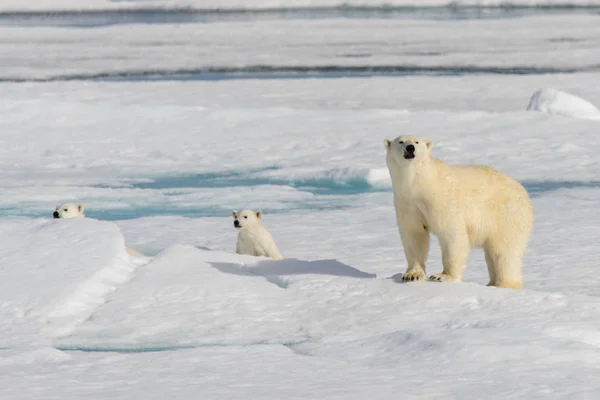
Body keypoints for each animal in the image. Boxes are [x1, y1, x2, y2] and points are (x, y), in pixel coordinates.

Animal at [384, 136, 536, 290]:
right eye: (401, 141)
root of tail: (524, 192)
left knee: (505, 252)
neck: (418, 184)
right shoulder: (407, 202)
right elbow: (414, 234)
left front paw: (442, 276)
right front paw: (412, 275)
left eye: (416, 142)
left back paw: (504, 284)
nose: (410, 148)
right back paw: (491, 283)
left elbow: (451, 233)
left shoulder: (441, 198)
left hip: (507, 214)